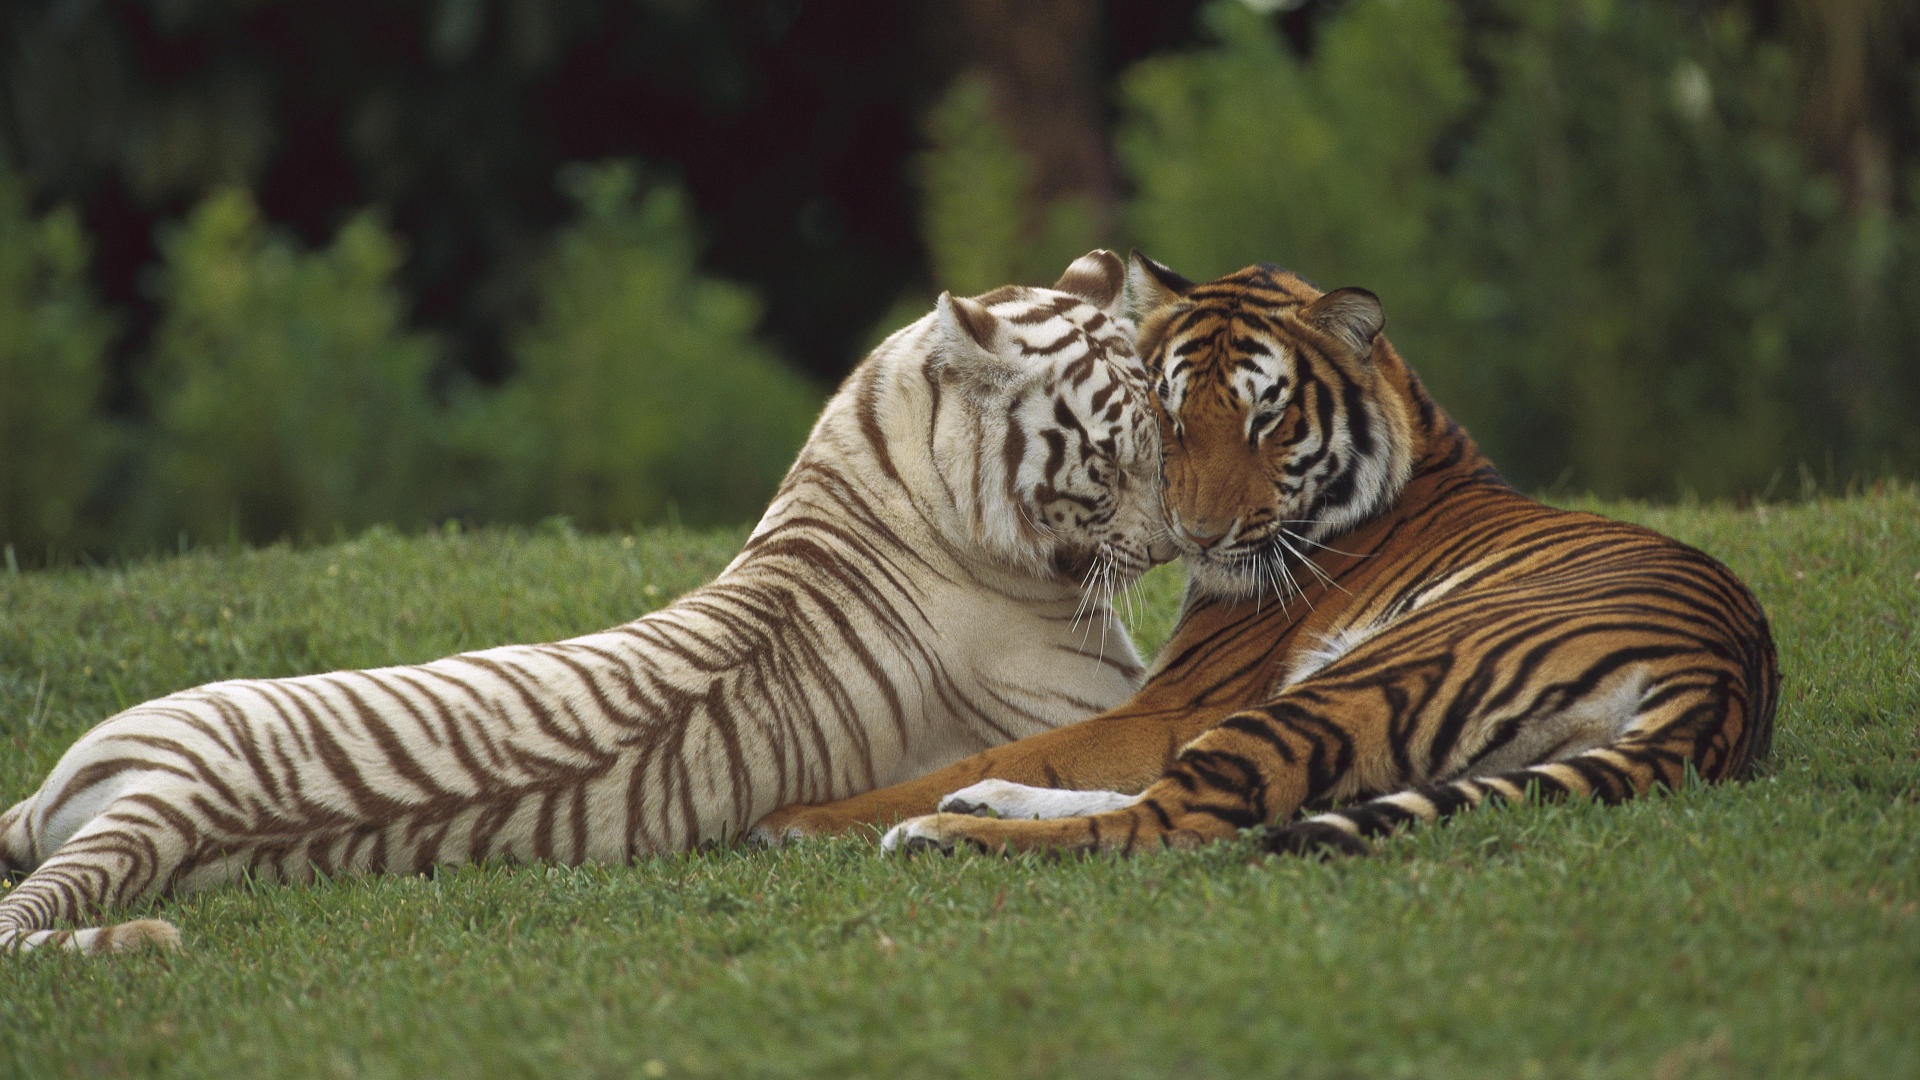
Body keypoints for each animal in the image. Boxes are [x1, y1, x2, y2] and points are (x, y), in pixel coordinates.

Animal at [0, 250, 1170, 953]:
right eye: (1116, 457)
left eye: (1172, 432)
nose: (1176, 543)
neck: (895, 448)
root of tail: (172, 799)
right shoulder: (1105, 701)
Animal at [750, 253, 1779, 857]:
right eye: (1169, 416)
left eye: (1266, 419)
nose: (1194, 537)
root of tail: (1723, 680)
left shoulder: (1180, 703)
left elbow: (1019, 749)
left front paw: (803, 818)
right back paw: (973, 811)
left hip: (1351, 683)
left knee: (1171, 819)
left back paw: (935, 831)